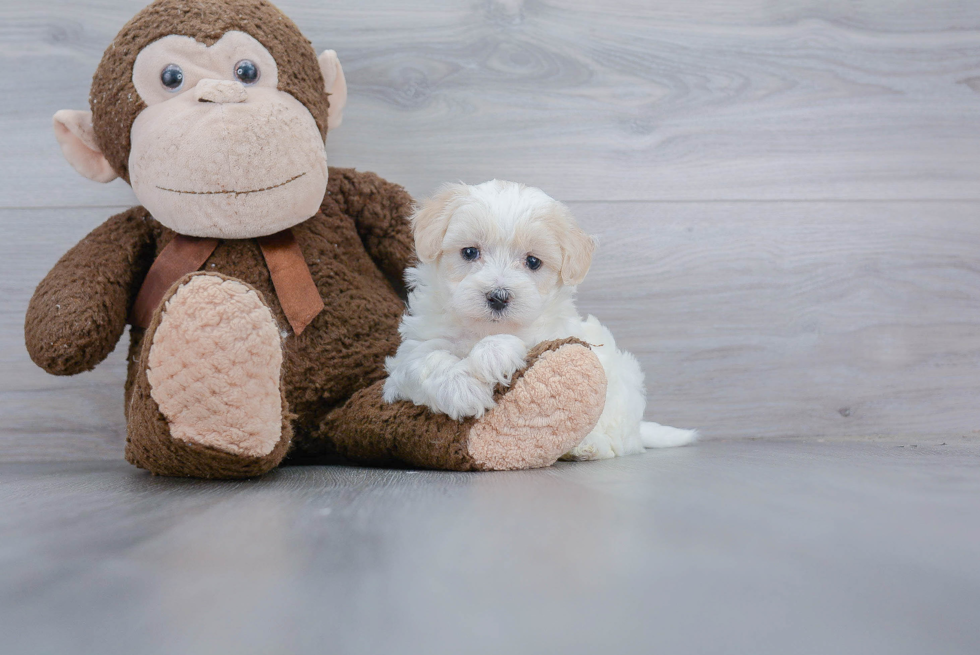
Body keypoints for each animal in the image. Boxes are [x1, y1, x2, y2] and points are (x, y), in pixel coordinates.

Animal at [382, 177, 696, 458]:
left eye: (533, 262)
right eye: (469, 252)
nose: (498, 296)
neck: (482, 329)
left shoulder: (551, 335)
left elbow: (521, 343)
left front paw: (492, 355)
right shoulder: (407, 357)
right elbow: (427, 360)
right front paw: (461, 389)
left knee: (617, 439)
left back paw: (587, 446)